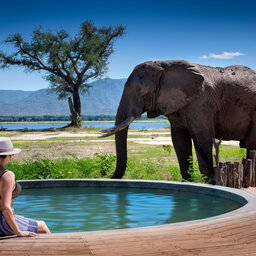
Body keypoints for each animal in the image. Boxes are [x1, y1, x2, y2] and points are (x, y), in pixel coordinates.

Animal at [99, 60, 256, 182]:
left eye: (139, 89)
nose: (110, 178)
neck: (165, 65)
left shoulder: (201, 102)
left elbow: (202, 137)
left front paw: (210, 182)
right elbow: (179, 140)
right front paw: (189, 182)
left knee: (251, 145)